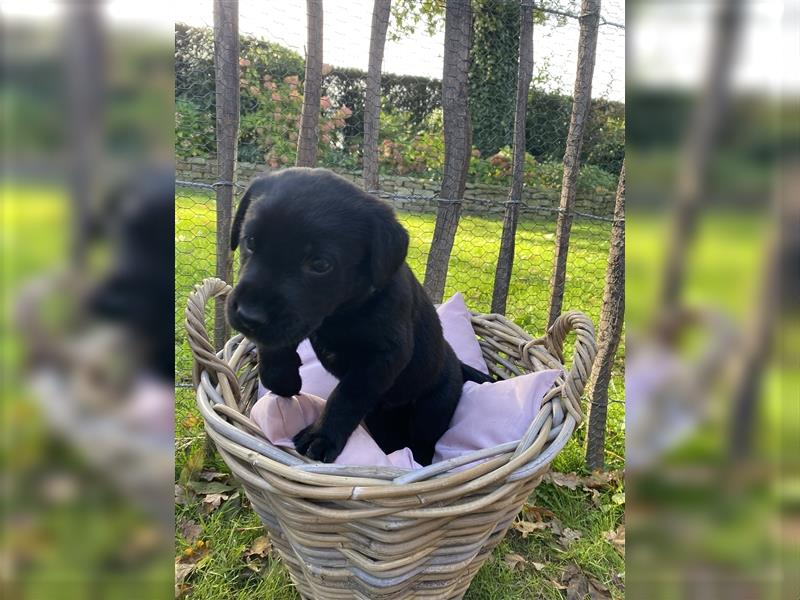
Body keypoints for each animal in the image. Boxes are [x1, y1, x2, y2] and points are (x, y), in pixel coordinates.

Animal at [225, 169, 488, 464]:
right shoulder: (299, 323)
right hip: (382, 419)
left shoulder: (383, 357)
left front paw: (321, 436)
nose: (249, 316)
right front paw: (284, 380)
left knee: (423, 445)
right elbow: (274, 347)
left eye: (320, 264)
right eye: (250, 241)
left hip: (430, 411)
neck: (341, 313)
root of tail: (456, 362)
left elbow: (347, 395)